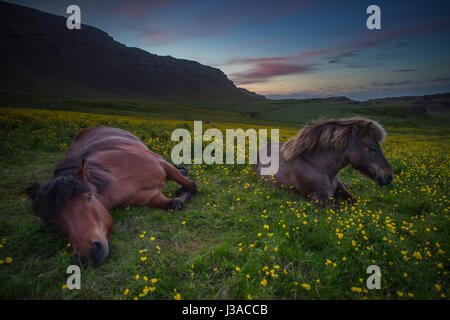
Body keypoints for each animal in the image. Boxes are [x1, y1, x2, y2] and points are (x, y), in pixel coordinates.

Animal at [27, 127, 196, 264]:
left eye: (89, 197)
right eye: (55, 220)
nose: (86, 256)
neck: (118, 178)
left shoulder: (163, 164)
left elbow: (191, 186)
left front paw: (181, 187)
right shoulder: (151, 197)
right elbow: (176, 204)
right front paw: (180, 192)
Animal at [256, 117, 394, 205]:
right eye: (372, 148)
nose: (389, 176)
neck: (319, 166)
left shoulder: (340, 187)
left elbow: (355, 199)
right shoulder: (321, 199)